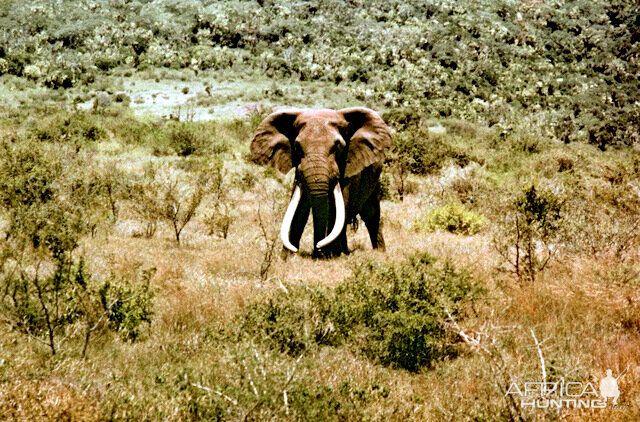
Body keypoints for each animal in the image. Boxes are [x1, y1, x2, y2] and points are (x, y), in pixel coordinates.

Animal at [249, 107, 390, 258]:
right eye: (297, 146)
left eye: (338, 146)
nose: (317, 250)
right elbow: (298, 209)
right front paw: (286, 257)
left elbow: (339, 208)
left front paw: (331, 255)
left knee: (371, 215)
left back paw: (378, 253)